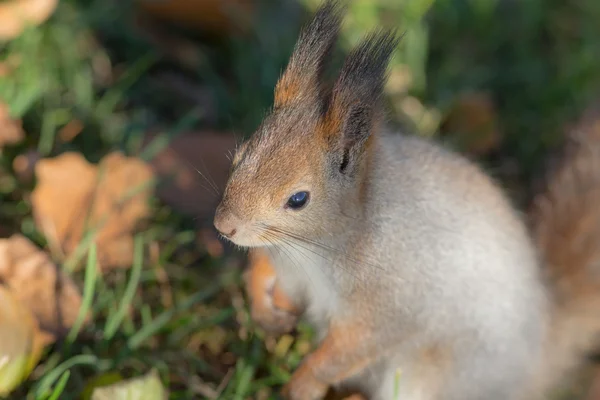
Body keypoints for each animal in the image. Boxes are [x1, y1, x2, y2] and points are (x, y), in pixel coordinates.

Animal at [213, 1, 600, 398]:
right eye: (239, 155)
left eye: (299, 199)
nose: (224, 226)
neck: (312, 248)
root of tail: (534, 362)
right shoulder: (282, 261)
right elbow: (260, 267)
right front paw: (263, 311)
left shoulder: (389, 302)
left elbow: (348, 350)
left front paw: (302, 383)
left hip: (427, 379)